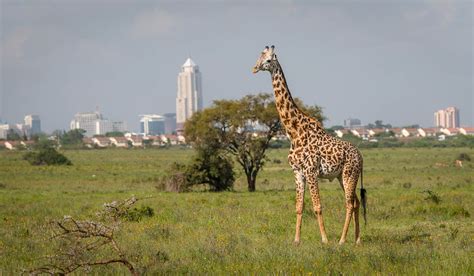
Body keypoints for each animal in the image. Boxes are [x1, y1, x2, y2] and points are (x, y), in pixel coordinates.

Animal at [252, 45, 366, 246]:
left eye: (268, 60)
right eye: (259, 57)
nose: (254, 68)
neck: (294, 131)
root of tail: (360, 156)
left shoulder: (311, 171)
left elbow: (317, 206)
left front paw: (325, 240)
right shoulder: (298, 172)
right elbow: (299, 206)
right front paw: (296, 240)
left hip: (349, 174)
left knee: (349, 203)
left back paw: (342, 240)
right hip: (341, 176)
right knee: (357, 202)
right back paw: (357, 239)